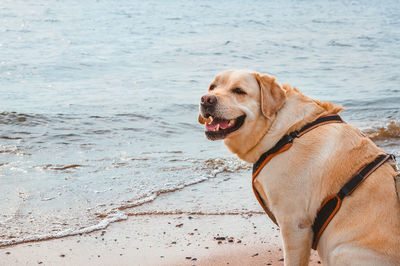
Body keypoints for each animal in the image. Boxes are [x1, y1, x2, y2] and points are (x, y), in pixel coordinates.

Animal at [198, 69, 400, 266]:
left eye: (239, 91)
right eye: (212, 86)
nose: (206, 99)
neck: (284, 131)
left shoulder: (294, 224)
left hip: (340, 251)